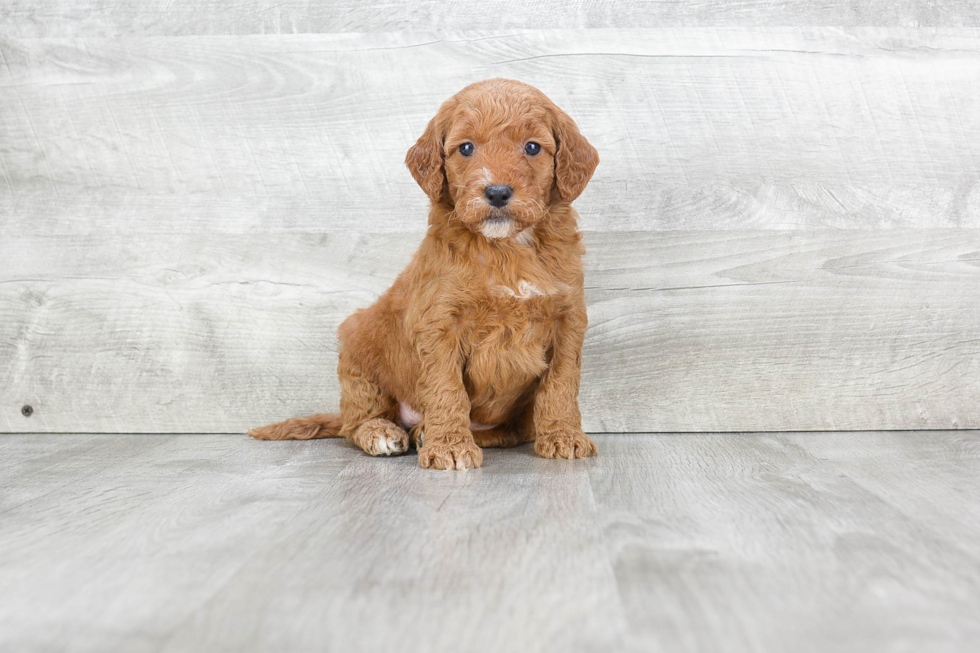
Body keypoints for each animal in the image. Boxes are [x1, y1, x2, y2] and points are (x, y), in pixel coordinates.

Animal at [247, 79, 596, 468]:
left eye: (532, 147)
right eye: (466, 147)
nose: (497, 192)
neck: (506, 247)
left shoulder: (567, 319)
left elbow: (561, 383)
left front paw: (563, 435)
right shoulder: (440, 323)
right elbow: (447, 387)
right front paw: (449, 446)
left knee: (505, 432)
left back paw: (430, 431)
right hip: (358, 344)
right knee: (356, 421)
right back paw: (386, 432)